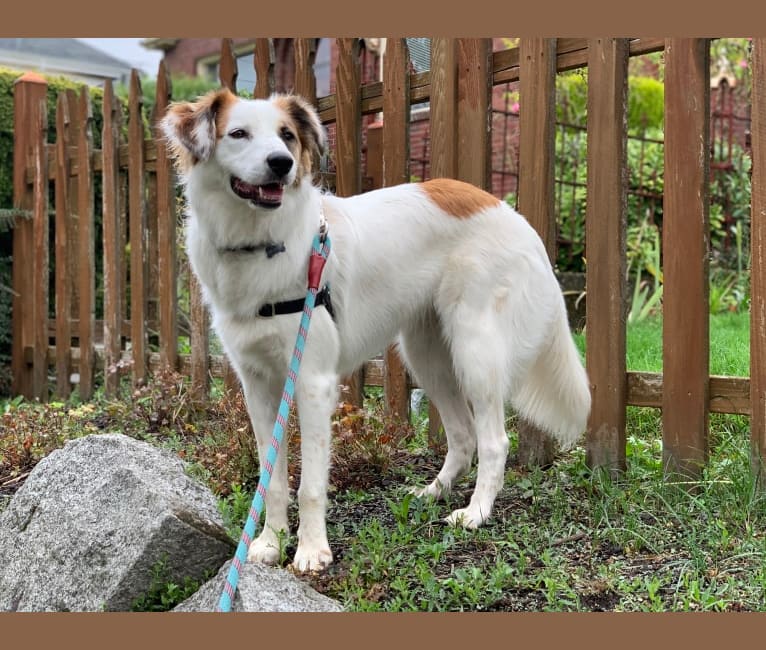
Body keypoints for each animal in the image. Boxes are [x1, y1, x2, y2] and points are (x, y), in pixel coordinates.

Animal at [162, 88, 592, 568]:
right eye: (238, 134)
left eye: (287, 135)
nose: (281, 163)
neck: (262, 243)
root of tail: (511, 213)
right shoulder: (257, 386)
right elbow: (270, 476)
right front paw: (270, 542)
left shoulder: (312, 382)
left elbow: (310, 482)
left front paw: (311, 550)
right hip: (427, 356)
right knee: (463, 437)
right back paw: (433, 492)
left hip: (474, 353)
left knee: (495, 441)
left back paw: (476, 512)